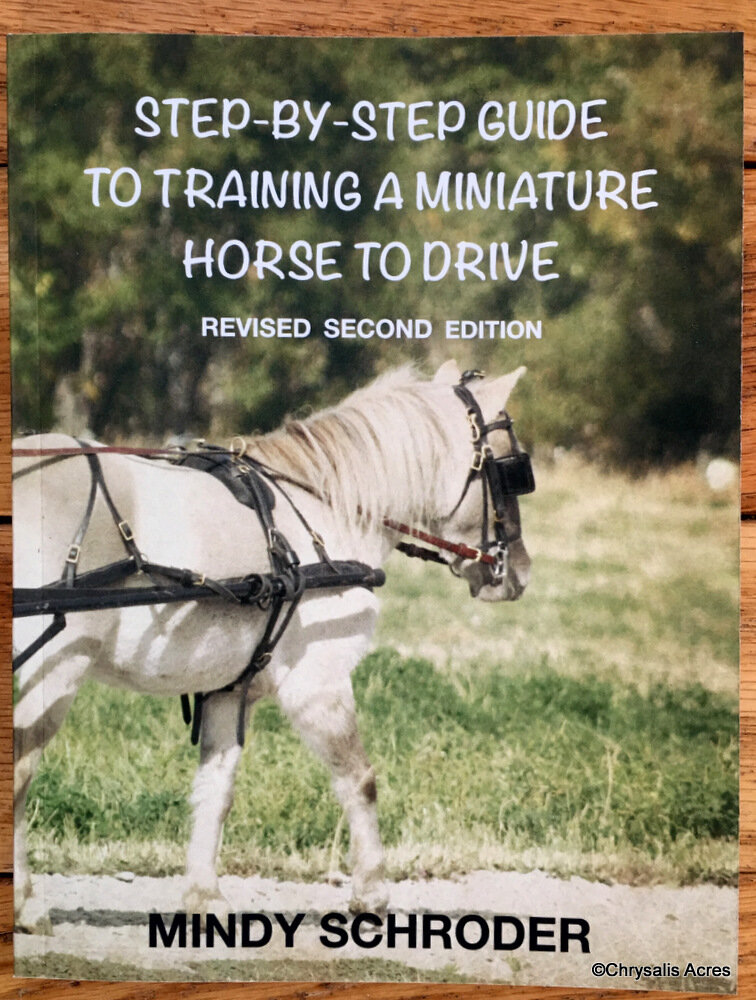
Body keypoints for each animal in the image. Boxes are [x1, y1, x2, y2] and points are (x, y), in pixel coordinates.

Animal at [12, 359, 532, 932]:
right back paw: (25, 902)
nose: (519, 572)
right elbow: (359, 780)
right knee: (18, 771)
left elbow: (216, 790)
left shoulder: (226, 690)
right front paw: (371, 891)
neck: (319, 513)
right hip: (55, 669)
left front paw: (204, 896)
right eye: (510, 468)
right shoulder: (319, 683)